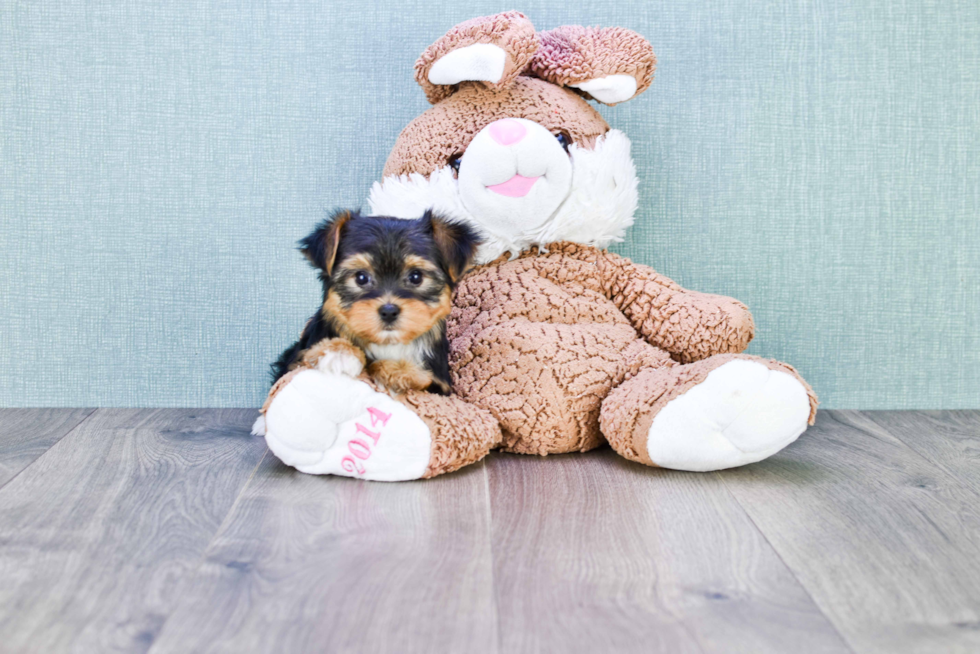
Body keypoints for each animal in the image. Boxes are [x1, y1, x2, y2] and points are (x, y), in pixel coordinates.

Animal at [274, 210, 480, 394]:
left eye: (416, 277)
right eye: (361, 278)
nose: (389, 311)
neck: (388, 343)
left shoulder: (441, 386)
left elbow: (424, 379)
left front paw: (397, 372)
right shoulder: (292, 363)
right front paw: (339, 352)